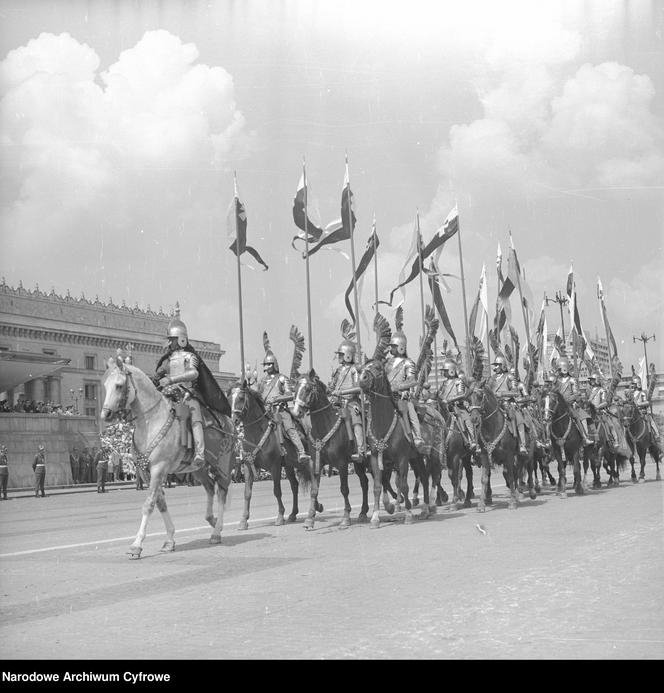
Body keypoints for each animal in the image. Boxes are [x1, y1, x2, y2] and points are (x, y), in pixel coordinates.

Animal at [97, 354, 235, 560]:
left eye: (119, 385)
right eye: (105, 385)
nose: (105, 414)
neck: (151, 421)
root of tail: (229, 422)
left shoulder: (158, 468)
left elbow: (149, 504)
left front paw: (136, 545)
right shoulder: (146, 472)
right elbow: (160, 503)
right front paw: (169, 540)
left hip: (222, 464)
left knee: (222, 493)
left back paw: (217, 532)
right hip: (199, 469)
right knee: (210, 488)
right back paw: (211, 519)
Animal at [230, 382, 312, 528]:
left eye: (240, 397)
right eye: (230, 398)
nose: (234, 420)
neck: (256, 434)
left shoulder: (275, 466)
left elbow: (277, 491)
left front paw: (279, 517)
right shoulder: (248, 465)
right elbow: (247, 493)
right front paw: (243, 521)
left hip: (305, 462)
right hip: (289, 466)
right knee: (294, 486)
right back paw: (293, 514)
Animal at [290, 370, 374, 528]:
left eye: (308, 388)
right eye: (295, 388)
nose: (296, 412)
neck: (324, 425)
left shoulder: (341, 464)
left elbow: (344, 489)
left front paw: (346, 517)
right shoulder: (316, 463)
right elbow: (314, 490)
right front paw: (310, 518)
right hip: (358, 463)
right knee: (364, 483)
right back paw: (363, 512)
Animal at [356, 356, 428, 524]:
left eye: (377, 367)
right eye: (362, 367)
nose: (362, 379)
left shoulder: (402, 458)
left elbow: (403, 485)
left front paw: (408, 514)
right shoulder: (375, 458)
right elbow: (378, 485)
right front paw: (375, 517)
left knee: (426, 477)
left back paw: (429, 507)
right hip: (415, 458)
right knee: (423, 477)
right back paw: (426, 509)